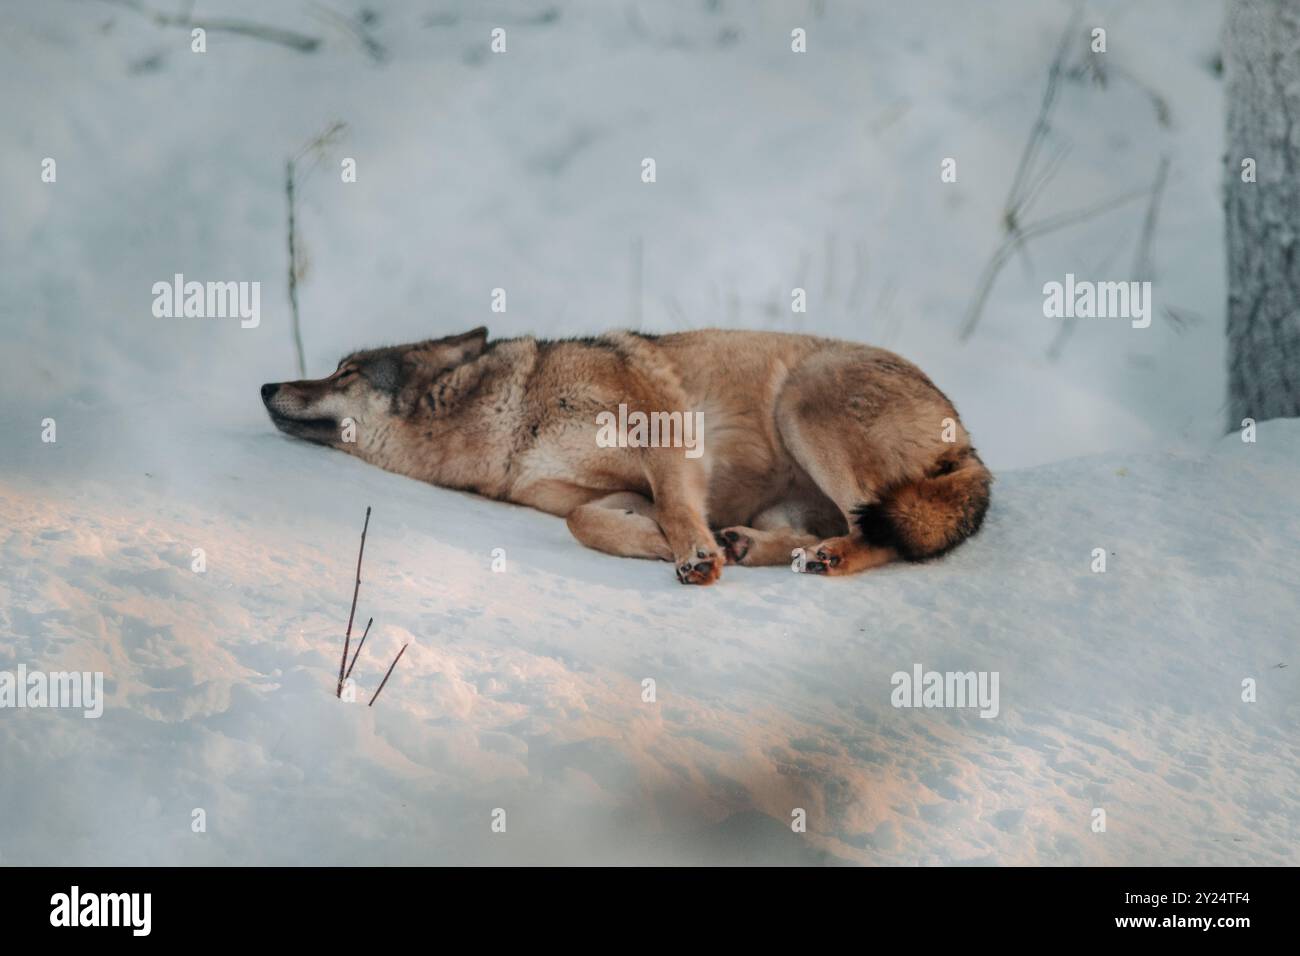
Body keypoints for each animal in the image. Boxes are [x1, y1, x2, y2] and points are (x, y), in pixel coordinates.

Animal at [266, 329, 993, 582]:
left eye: (345, 372)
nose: (267, 387)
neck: (512, 422)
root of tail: (972, 443)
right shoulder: (596, 495)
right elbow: (587, 524)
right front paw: (669, 546)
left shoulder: (662, 422)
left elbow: (673, 503)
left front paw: (693, 553)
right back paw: (749, 545)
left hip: (801, 403)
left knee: (881, 532)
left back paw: (825, 557)